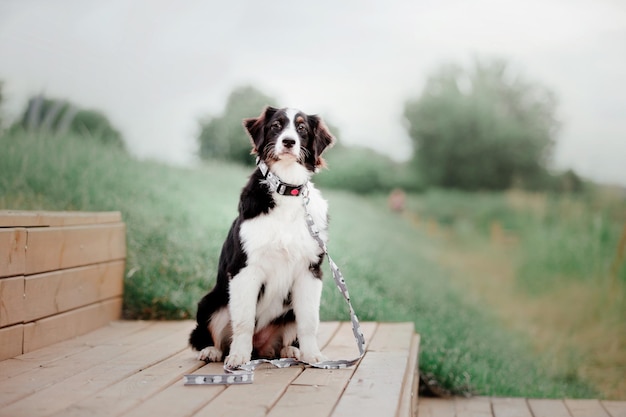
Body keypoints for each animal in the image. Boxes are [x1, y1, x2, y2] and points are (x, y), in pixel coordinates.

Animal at [189, 105, 334, 368]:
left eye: (302, 128)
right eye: (276, 125)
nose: (288, 141)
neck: (287, 192)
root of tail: (260, 348)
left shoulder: (310, 270)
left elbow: (309, 321)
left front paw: (313, 355)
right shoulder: (245, 268)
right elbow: (244, 321)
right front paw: (238, 356)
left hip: (287, 311)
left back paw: (291, 351)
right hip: (213, 301)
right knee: (208, 334)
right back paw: (212, 351)